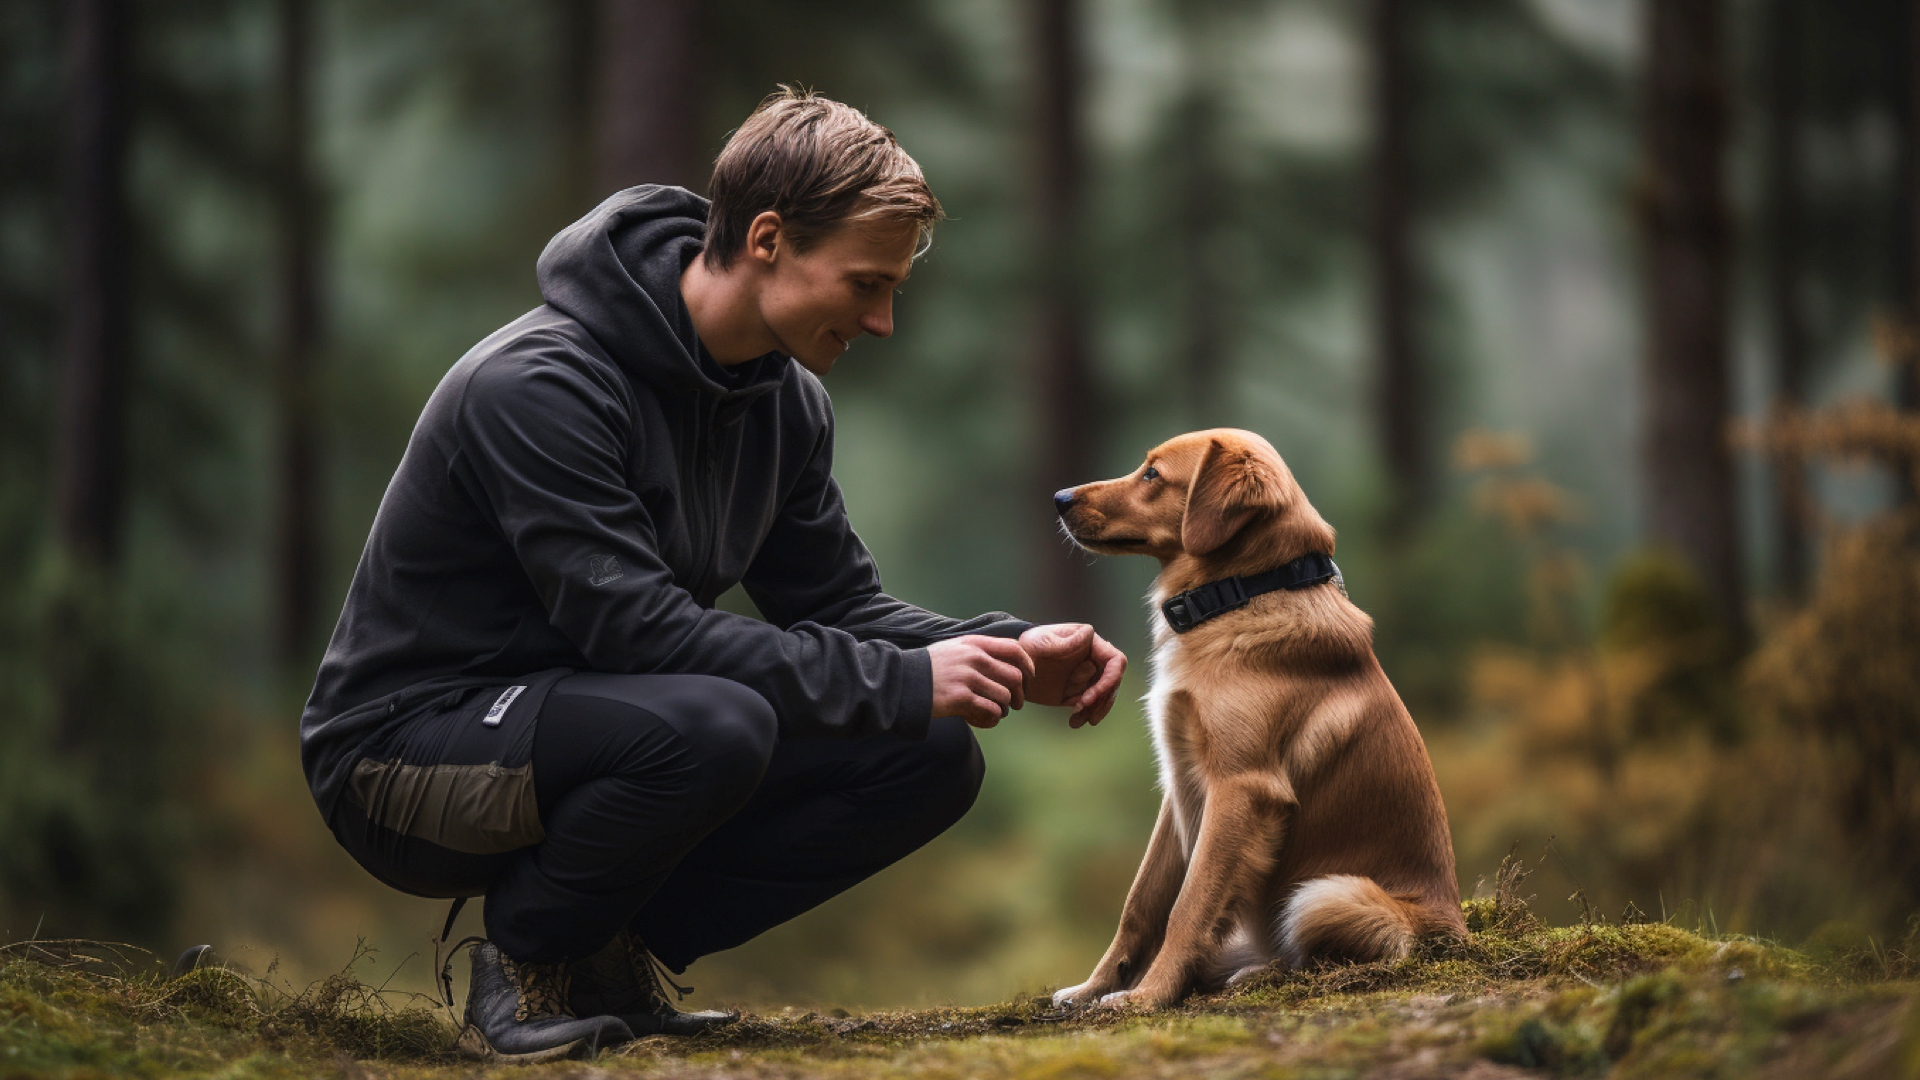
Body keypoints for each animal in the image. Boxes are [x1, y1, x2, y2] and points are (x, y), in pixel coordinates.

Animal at [1052, 424, 1466, 1006]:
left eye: (1152, 474)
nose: (1059, 498)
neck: (1239, 594)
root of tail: (1457, 931)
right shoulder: (1179, 783)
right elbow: (1140, 903)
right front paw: (1096, 987)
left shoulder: (1241, 788)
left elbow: (1189, 905)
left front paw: (1149, 996)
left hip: (1328, 895)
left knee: (1311, 955)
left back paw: (1257, 974)